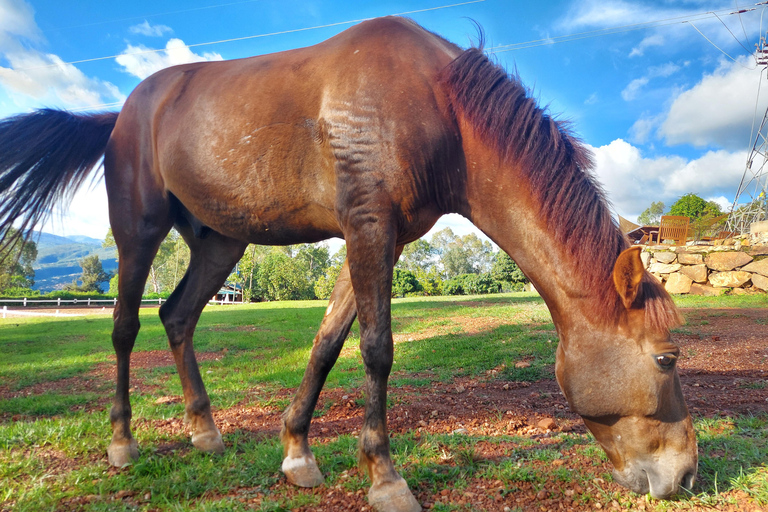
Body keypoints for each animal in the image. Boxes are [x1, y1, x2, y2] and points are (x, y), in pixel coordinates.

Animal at [0, 16, 696, 512]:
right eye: (666, 358)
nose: (687, 473)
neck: (440, 106)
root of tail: (124, 111)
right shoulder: (368, 228)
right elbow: (376, 348)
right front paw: (384, 477)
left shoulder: (378, 237)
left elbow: (327, 343)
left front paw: (296, 454)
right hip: (137, 232)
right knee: (125, 327)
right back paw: (122, 442)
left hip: (221, 244)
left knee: (177, 316)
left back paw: (205, 432)